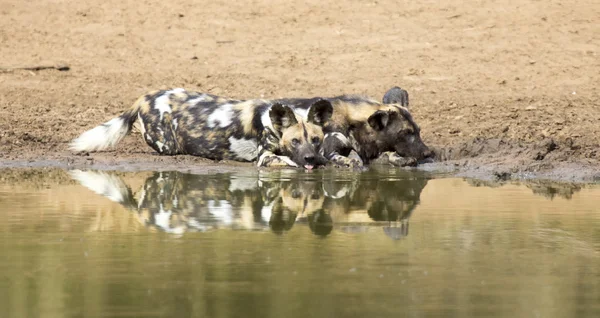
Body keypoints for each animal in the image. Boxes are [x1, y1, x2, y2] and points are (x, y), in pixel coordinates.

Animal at [71, 88, 332, 170]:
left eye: (316, 140)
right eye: (295, 141)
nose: (309, 157)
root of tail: (145, 97)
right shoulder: (265, 157)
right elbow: (289, 162)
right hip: (168, 146)